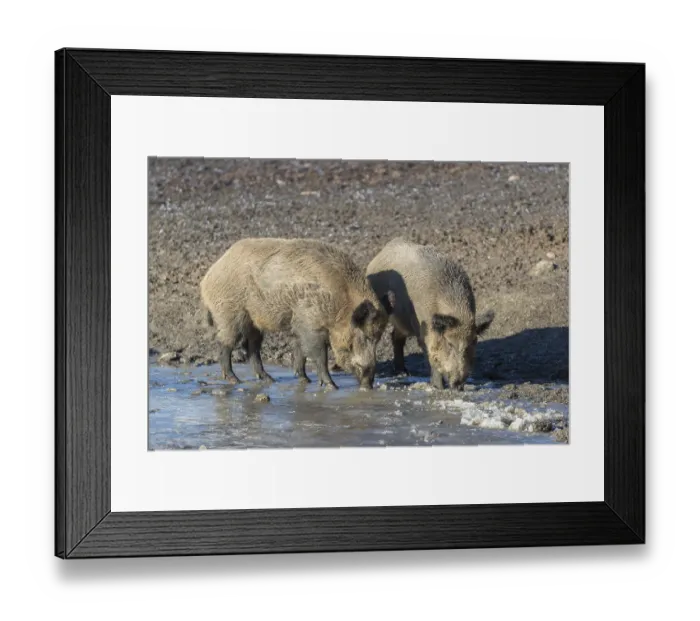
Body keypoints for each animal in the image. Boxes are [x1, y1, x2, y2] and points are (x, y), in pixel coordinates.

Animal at [200, 238, 395, 389]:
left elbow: (300, 351)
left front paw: (305, 380)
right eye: (364, 336)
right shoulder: (310, 323)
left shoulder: (300, 325)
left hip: (253, 322)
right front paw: (332, 386)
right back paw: (235, 381)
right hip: (228, 313)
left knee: (252, 347)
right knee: (225, 344)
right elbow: (318, 355)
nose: (367, 386)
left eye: (378, 337)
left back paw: (269, 380)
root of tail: (207, 278)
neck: (341, 303)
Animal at [366, 238, 494, 390]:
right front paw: (438, 387)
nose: (458, 384)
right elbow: (430, 355)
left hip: (403, 323)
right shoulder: (424, 329)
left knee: (395, 336)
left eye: (472, 343)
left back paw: (403, 373)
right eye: (450, 343)